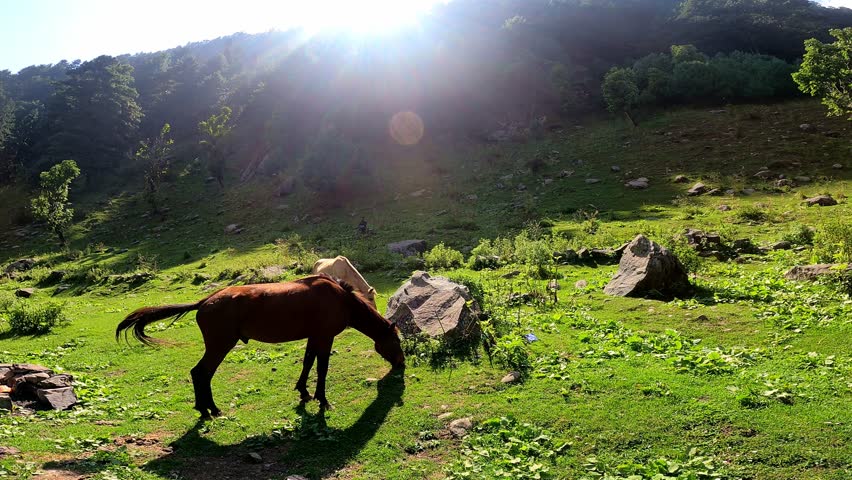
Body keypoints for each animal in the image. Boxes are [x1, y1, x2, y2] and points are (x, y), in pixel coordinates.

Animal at [116, 274, 405, 418]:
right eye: (397, 341)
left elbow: (307, 362)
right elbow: (322, 369)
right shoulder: (325, 337)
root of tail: (204, 302)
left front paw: (303, 392)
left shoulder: (313, 337)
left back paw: (205, 409)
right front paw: (322, 400)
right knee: (201, 374)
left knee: (200, 374)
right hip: (220, 346)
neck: (340, 298)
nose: (401, 364)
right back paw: (211, 410)